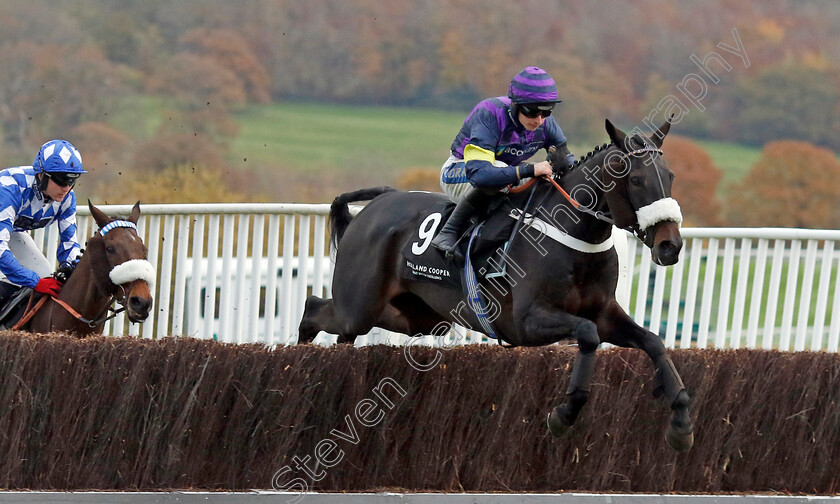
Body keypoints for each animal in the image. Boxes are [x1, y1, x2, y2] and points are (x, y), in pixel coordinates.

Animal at [298, 120, 692, 450]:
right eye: (636, 180)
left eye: (671, 176)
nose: (669, 246)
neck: (572, 234)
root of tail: (378, 201)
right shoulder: (525, 321)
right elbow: (588, 335)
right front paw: (563, 415)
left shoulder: (605, 312)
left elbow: (653, 342)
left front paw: (681, 421)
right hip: (360, 304)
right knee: (315, 310)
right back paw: (302, 360)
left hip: (413, 315)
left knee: (345, 333)